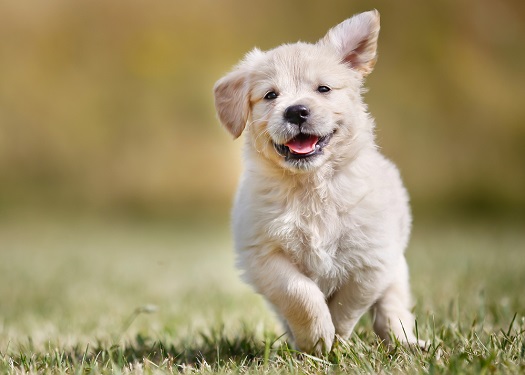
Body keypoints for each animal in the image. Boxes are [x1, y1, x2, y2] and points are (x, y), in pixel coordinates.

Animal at [213, 8, 422, 356]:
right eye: (270, 95)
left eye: (323, 89)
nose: (296, 111)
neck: (310, 185)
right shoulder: (263, 254)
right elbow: (300, 294)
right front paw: (317, 339)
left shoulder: (372, 259)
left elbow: (348, 305)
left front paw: (335, 339)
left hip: (397, 270)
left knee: (392, 309)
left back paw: (407, 342)